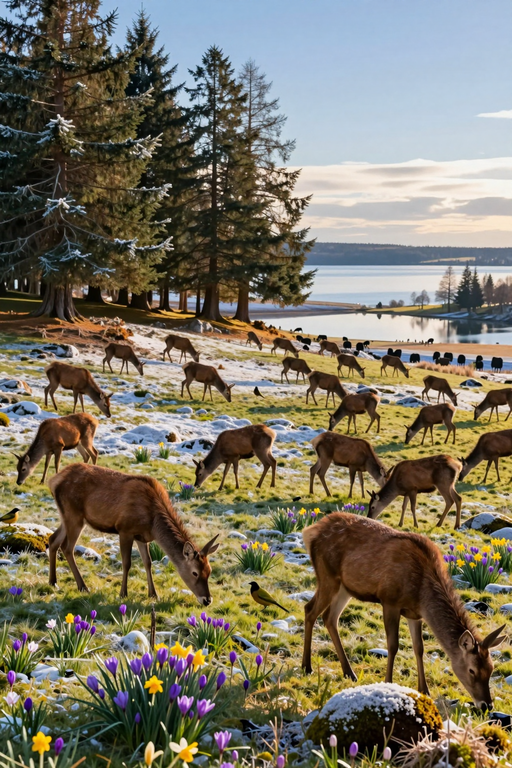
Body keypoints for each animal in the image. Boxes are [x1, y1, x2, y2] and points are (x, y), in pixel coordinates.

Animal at [47, 463, 220, 602]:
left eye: (209, 571)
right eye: (195, 573)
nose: (207, 600)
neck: (153, 524)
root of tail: (53, 480)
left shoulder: (142, 537)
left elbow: (148, 562)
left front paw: (153, 594)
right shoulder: (125, 529)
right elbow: (127, 562)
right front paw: (123, 593)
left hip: (68, 517)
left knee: (53, 539)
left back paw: (53, 581)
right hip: (74, 515)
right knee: (67, 547)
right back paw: (82, 586)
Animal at [301, 511, 506, 707]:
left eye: (491, 669)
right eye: (472, 670)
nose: (486, 705)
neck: (421, 592)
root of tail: (310, 531)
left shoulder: (415, 614)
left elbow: (419, 648)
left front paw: (424, 690)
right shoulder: (389, 600)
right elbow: (393, 645)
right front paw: (388, 682)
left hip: (345, 587)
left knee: (329, 617)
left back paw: (348, 672)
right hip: (327, 575)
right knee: (310, 609)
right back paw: (307, 667)